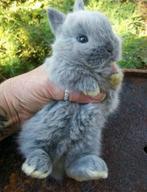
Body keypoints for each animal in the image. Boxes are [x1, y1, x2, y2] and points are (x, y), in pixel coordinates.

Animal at [17, 0, 123, 182]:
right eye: (82, 39)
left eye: (109, 27)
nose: (110, 48)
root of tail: (58, 165)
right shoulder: (59, 69)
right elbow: (76, 73)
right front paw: (92, 88)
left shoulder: (108, 103)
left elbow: (112, 96)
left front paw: (116, 76)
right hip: (39, 133)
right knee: (35, 149)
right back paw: (36, 167)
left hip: (86, 142)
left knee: (73, 167)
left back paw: (95, 169)